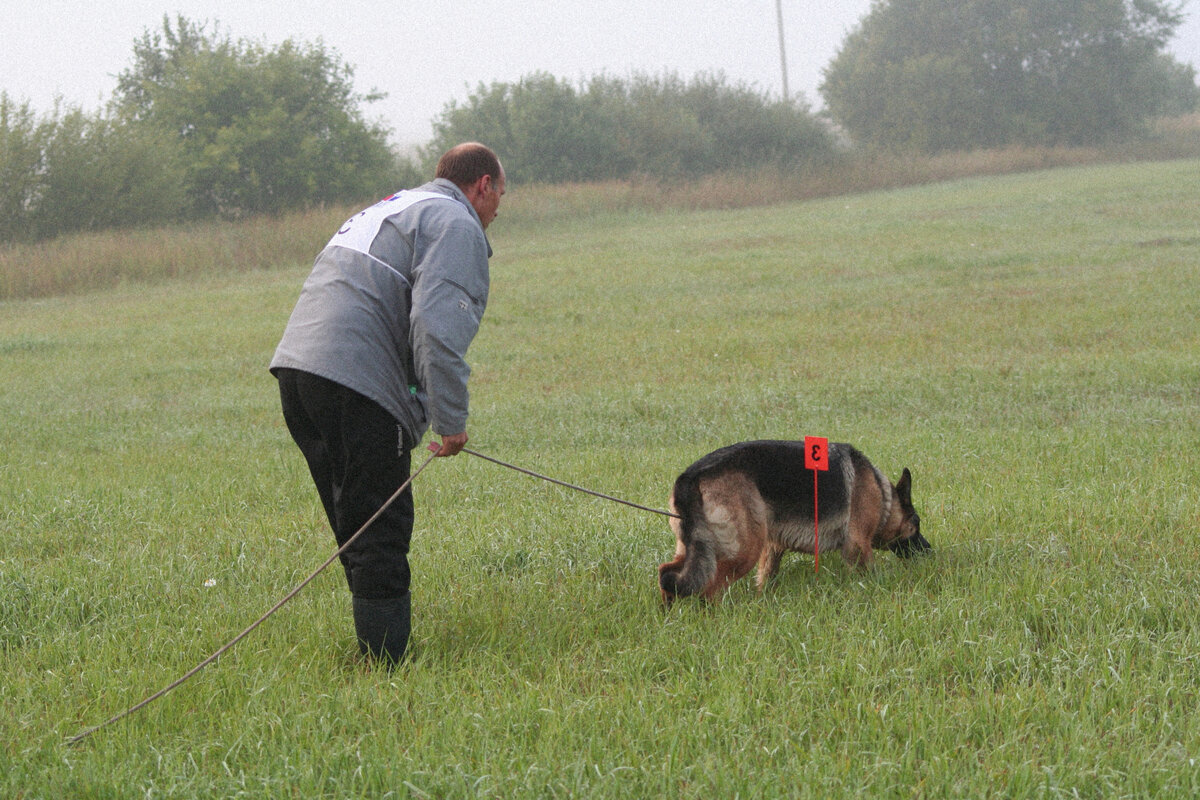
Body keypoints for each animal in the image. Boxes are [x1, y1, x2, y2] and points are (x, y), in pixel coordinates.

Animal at [657, 441, 926, 604]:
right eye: (916, 524)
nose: (929, 551)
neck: (884, 496)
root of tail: (691, 475)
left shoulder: (772, 547)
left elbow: (766, 577)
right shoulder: (858, 545)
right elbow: (871, 574)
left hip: (696, 549)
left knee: (667, 573)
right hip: (741, 552)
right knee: (709, 587)